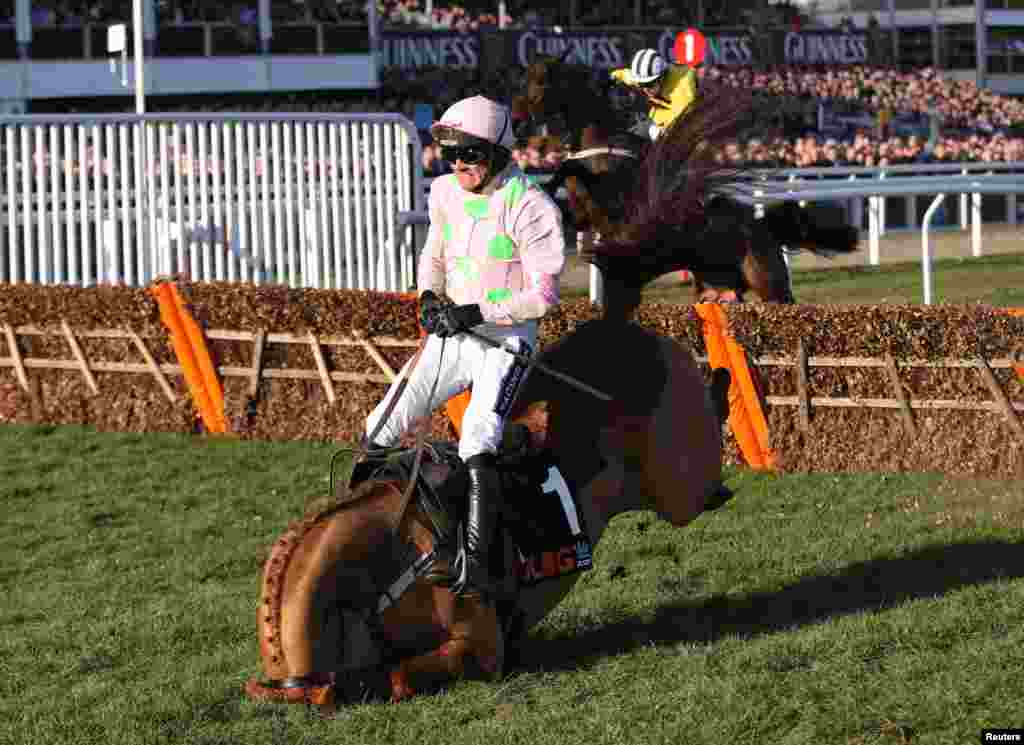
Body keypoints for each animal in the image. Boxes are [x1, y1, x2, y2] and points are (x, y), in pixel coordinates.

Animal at [507, 52, 860, 304]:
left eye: (542, 82)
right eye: (522, 79)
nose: (517, 120)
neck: (601, 143)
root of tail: (764, 227)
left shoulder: (618, 210)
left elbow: (575, 172)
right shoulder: (584, 216)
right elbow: (565, 183)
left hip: (769, 284)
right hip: (717, 286)